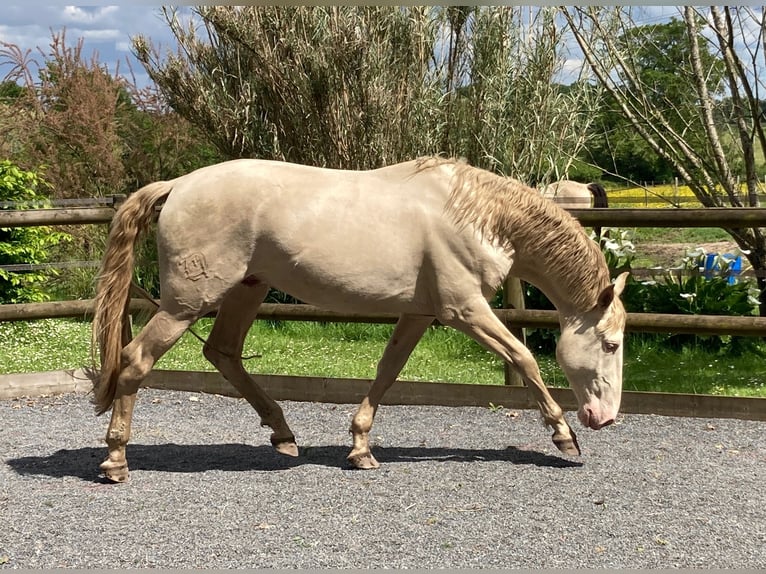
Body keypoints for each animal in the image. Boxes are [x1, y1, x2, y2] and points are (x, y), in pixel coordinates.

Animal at [91, 155, 632, 484]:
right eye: (610, 344)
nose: (604, 417)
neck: (478, 216)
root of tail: (178, 185)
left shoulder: (419, 313)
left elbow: (387, 372)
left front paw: (361, 447)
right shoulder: (466, 311)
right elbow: (524, 359)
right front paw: (564, 436)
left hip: (246, 289)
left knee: (222, 353)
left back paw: (284, 435)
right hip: (186, 304)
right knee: (135, 361)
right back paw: (115, 460)